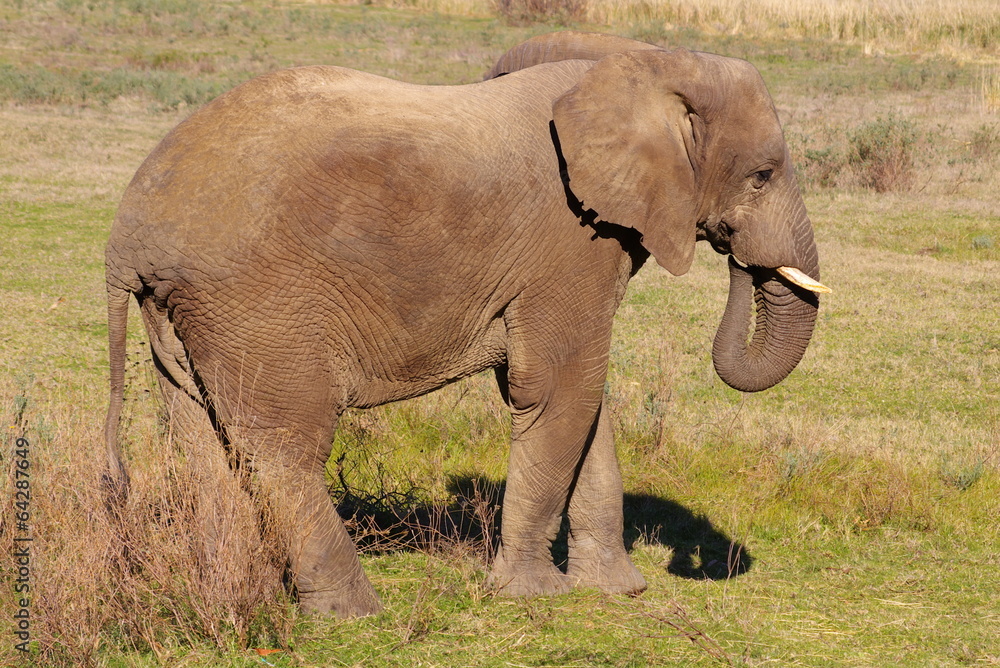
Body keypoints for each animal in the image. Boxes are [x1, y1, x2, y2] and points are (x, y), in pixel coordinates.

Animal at [103, 30, 828, 618]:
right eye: (762, 175)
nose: (738, 257)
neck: (641, 63)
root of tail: (129, 233)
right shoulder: (568, 245)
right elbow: (557, 388)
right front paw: (534, 596)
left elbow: (584, 403)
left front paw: (618, 592)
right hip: (256, 305)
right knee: (283, 448)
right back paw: (352, 613)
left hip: (184, 317)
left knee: (202, 440)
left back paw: (238, 592)